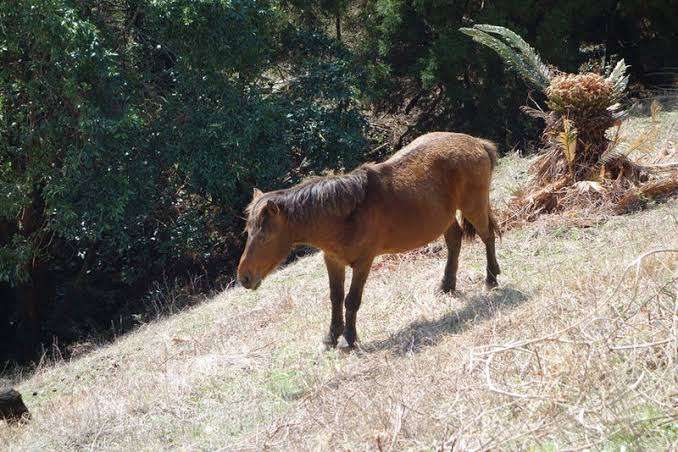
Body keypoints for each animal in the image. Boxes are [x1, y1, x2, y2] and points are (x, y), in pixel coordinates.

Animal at [237, 132, 500, 349]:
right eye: (248, 231)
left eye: (265, 235)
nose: (244, 277)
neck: (344, 215)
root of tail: (477, 142)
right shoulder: (333, 261)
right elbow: (335, 298)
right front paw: (331, 337)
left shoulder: (364, 262)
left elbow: (352, 300)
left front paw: (349, 339)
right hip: (445, 218)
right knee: (454, 241)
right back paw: (447, 286)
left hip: (474, 207)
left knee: (487, 236)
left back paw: (491, 279)